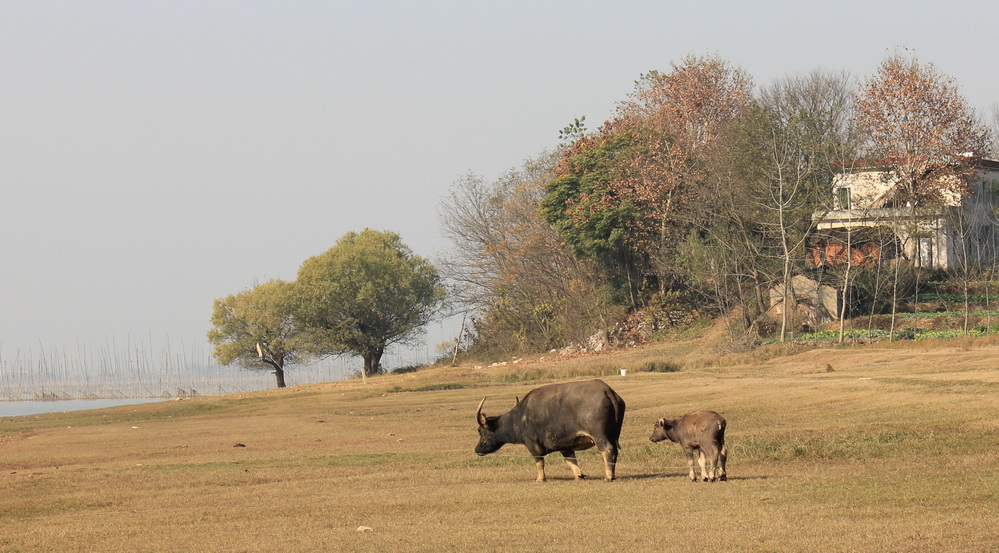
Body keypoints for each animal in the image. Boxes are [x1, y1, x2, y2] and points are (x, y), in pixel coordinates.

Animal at [474, 378, 624, 480]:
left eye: (481, 431)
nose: (477, 449)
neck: (520, 416)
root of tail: (607, 391)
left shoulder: (532, 444)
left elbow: (539, 462)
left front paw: (540, 479)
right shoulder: (565, 445)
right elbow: (570, 461)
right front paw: (579, 475)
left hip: (600, 435)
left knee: (607, 450)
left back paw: (608, 476)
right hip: (613, 434)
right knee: (614, 452)